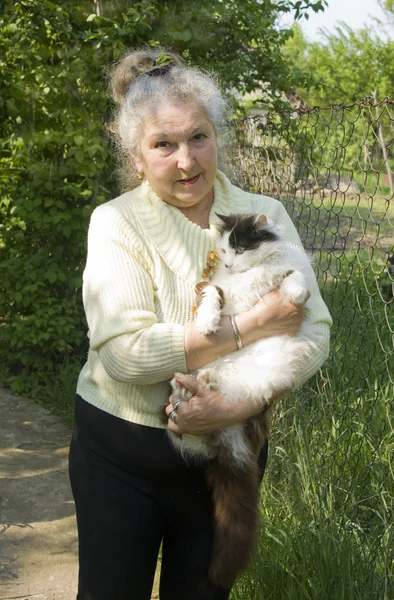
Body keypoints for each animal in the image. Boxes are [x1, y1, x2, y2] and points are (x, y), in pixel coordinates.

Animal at [169, 213, 320, 588]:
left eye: (238, 248)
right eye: (223, 251)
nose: (227, 263)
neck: (248, 273)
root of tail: (229, 439)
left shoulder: (288, 268)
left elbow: (294, 278)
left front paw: (296, 295)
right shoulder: (216, 288)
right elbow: (211, 296)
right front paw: (207, 325)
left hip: (260, 381)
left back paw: (201, 385)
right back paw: (187, 387)